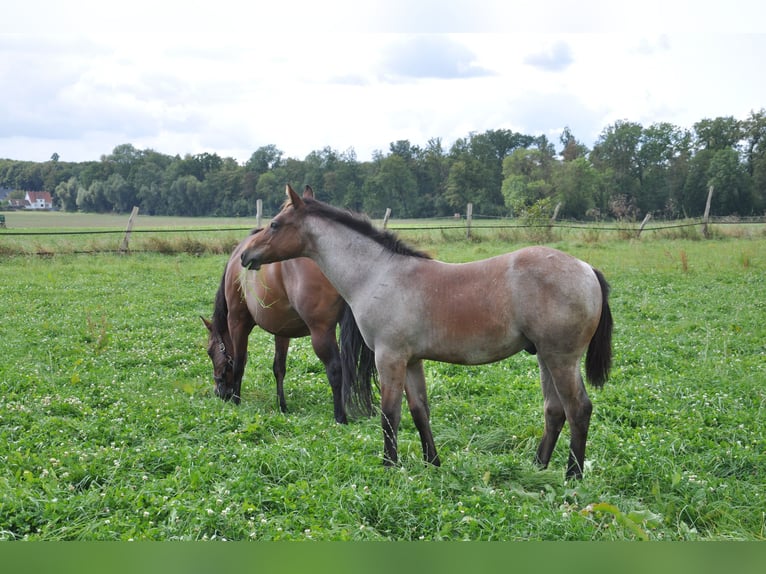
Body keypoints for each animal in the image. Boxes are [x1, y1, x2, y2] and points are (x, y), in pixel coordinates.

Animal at [202, 186, 375, 424]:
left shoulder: (237, 321)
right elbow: (279, 367)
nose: (220, 393)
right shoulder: (282, 330)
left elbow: (239, 363)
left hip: (321, 331)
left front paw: (237, 401)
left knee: (335, 368)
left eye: (210, 352)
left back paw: (340, 417)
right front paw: (282, 406)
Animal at [239, 184, 613, 479]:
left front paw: (390, 465)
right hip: (545, 358)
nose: (245, 255)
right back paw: (537, 467)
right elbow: (420, 412)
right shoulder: (412, 360)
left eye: (274, 223)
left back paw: (572, 475)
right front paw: (432, 462)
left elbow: (390, 414)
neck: (378, 274)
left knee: (578, 409)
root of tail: (587, 269)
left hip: (561, 358)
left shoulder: (389, 357)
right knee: (555, 410)